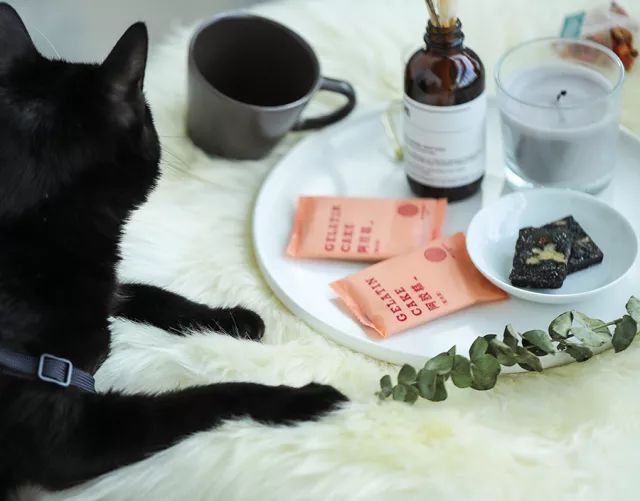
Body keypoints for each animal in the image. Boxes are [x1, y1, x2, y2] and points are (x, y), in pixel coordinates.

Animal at [0, 4, 346, 498]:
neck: (36, 226)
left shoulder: (107, 288)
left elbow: (147, 291)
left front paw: (235, 320)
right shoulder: (71, 437)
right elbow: (199, 397)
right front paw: (301, 398)